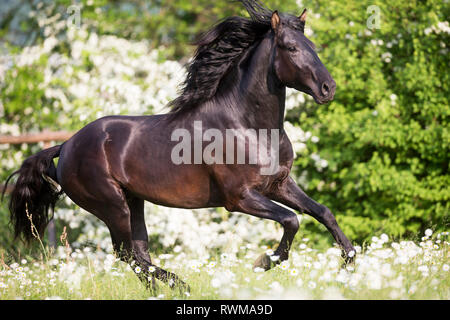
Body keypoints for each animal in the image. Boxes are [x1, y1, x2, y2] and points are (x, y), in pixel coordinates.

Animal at [3, 0, 356, 290]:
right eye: (290, 47)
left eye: (312, 46)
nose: (329, 88)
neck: (249, 127)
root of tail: (66, 145)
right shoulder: (239, 198)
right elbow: (291, 220)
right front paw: (263, 262)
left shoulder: (279, 184)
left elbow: (323, 212)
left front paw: (348, 263)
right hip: (110, 204)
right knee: (127, 253)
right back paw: (181, 283)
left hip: (133, 202)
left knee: (139, 253)